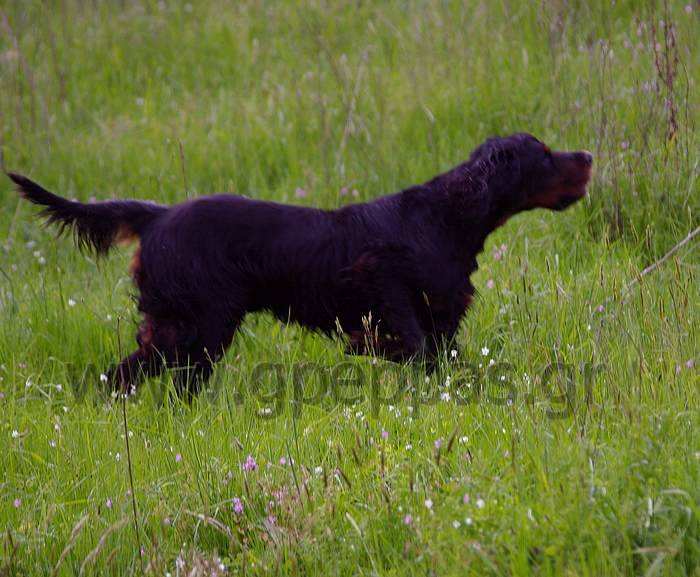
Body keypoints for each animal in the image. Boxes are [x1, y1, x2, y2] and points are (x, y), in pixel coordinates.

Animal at [8, 133, 592, 394]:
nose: (588, 155)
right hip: (197, 323)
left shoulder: (442, 314)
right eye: (544, 154)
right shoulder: (383, 286)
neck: (446, 217)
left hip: (188, 330)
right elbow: (414, 346)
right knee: (138, 374)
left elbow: (442, 360)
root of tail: (159, 216)